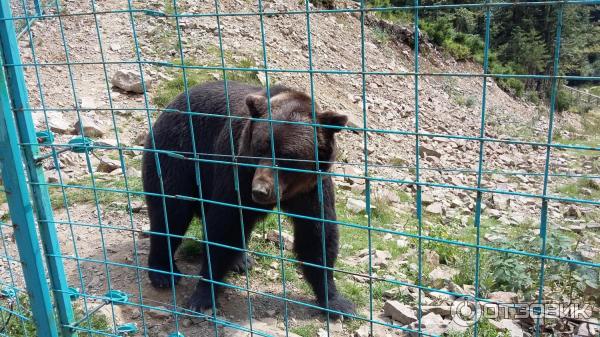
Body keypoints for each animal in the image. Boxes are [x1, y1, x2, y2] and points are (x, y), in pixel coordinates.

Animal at [142, 80, 354, 316]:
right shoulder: (238, 172)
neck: (289, 190)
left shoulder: (312, 188)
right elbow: (226, 224)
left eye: (287, 157)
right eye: (260, 148)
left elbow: (317, 235)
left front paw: (336, 302)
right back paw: (162, 272)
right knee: (171, 210)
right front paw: (203, 295)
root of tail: (171, 104)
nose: (260, 190)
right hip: (178, 152)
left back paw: (241, 261)